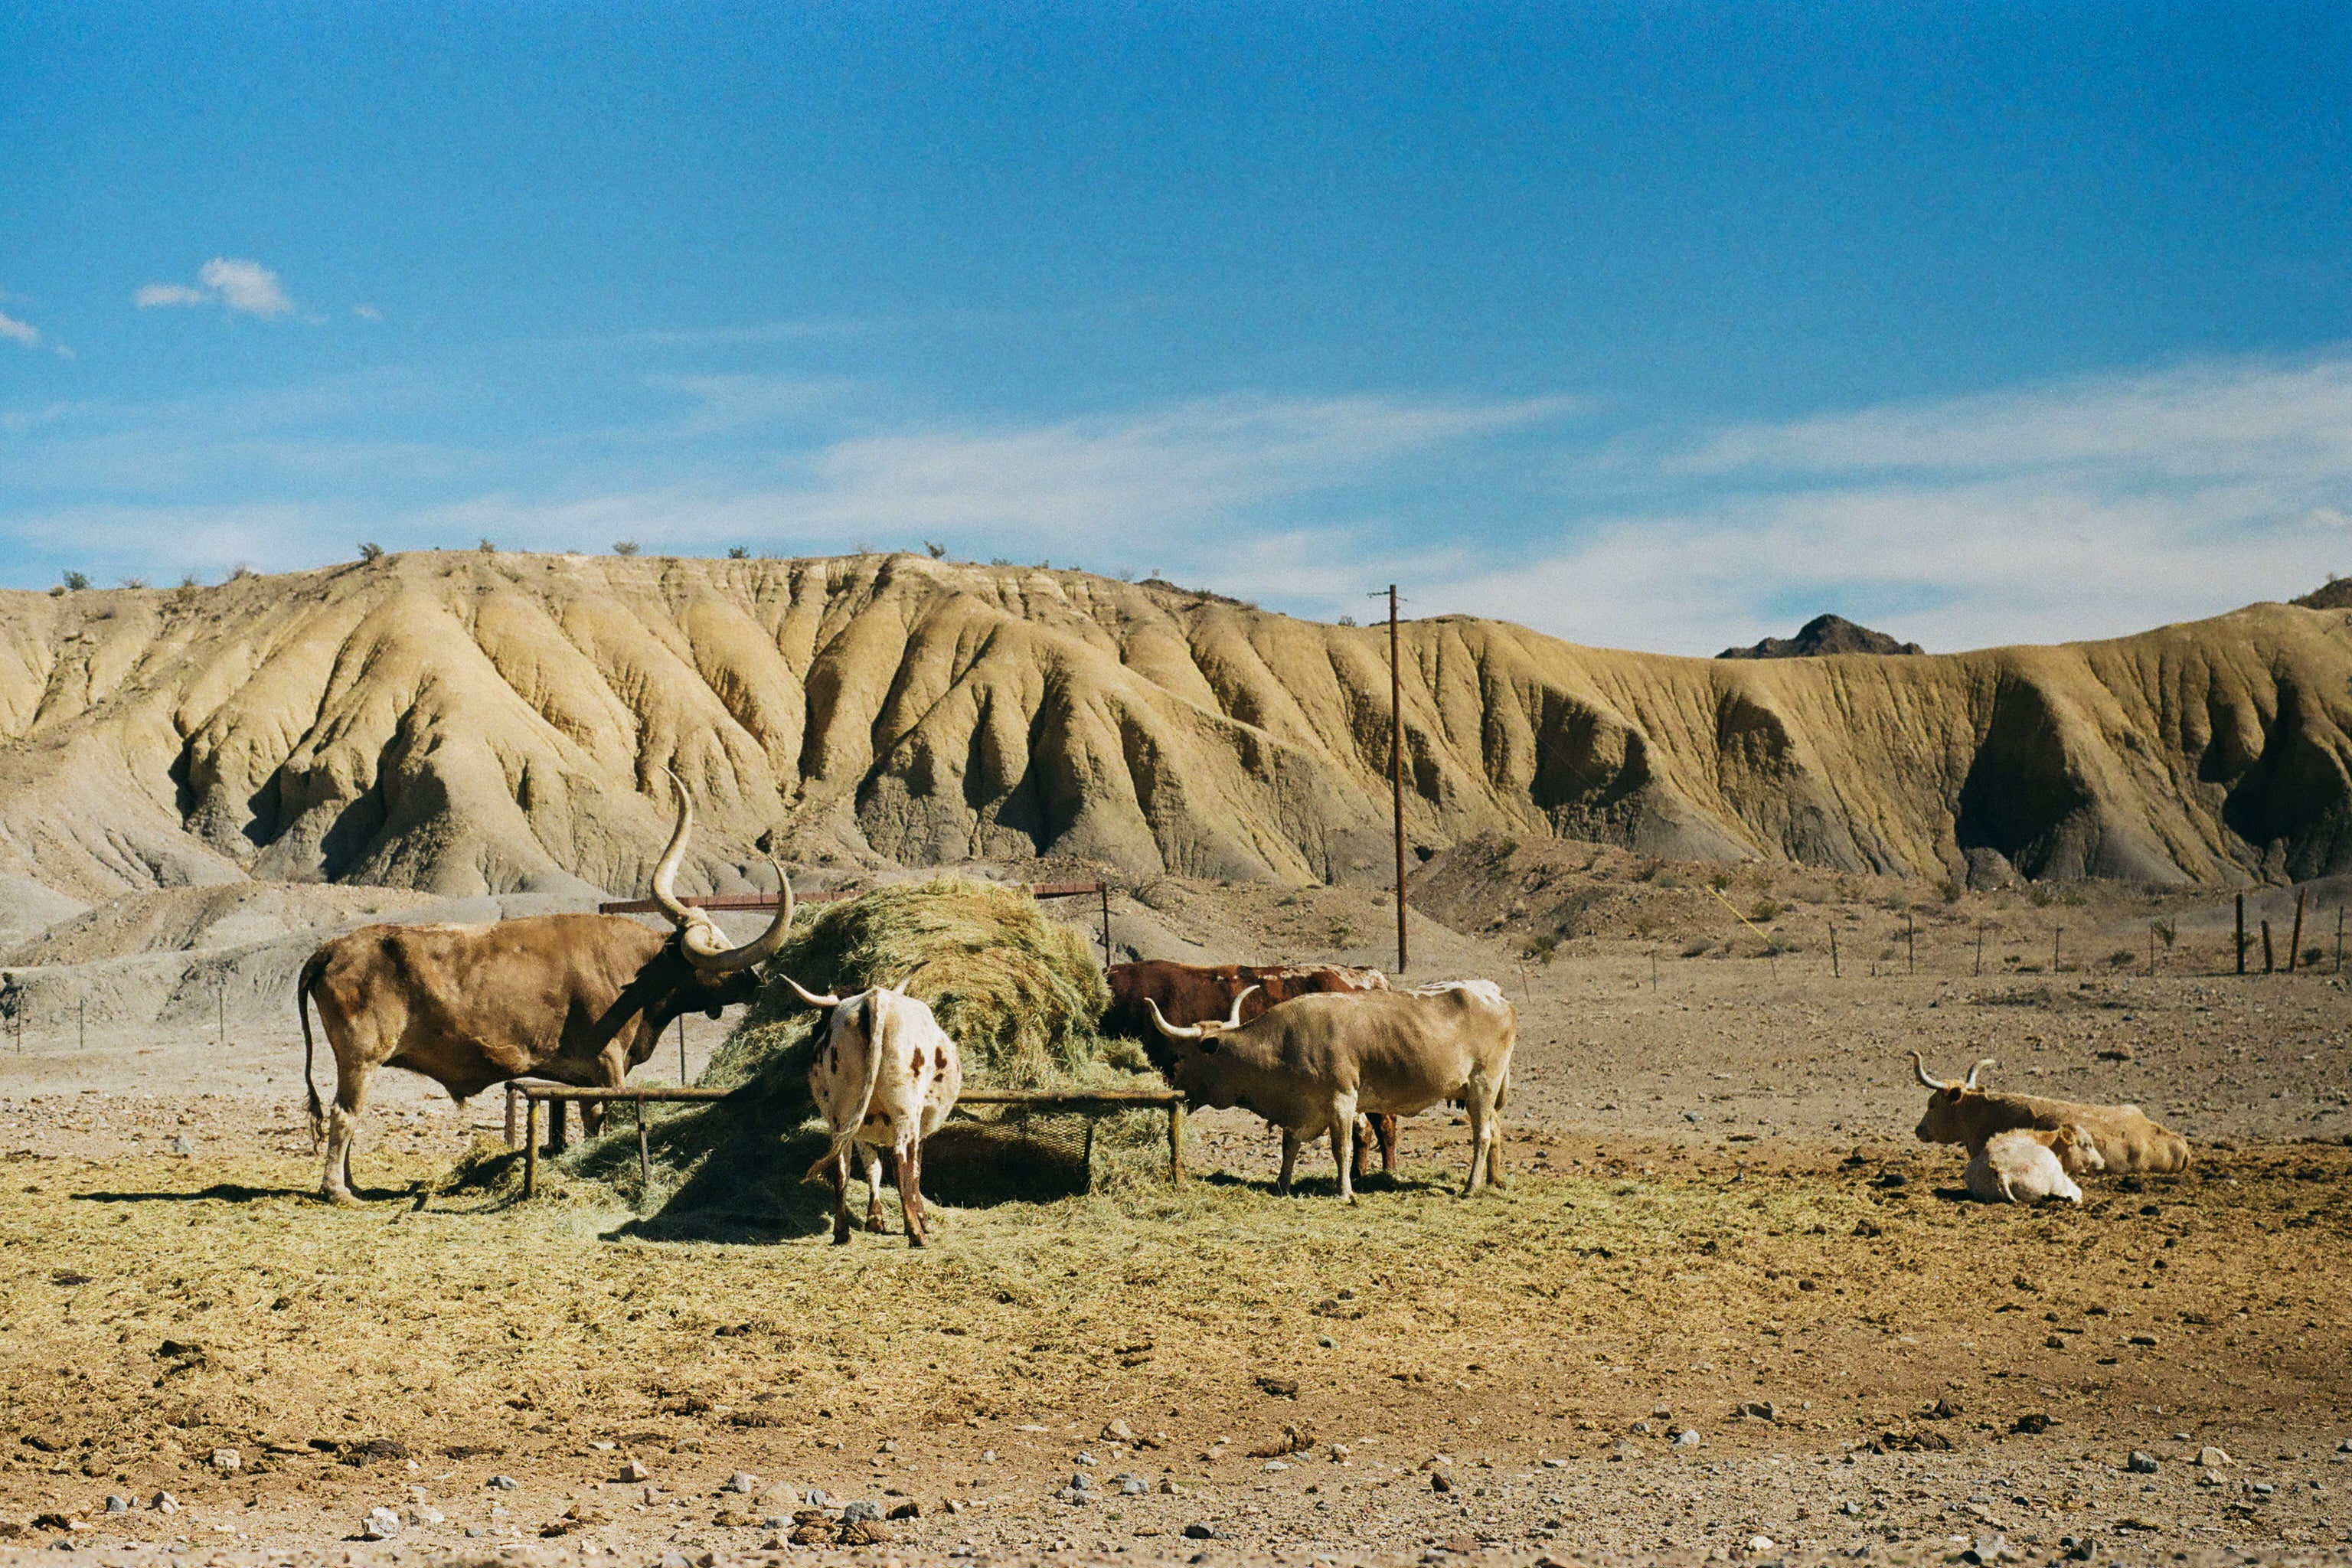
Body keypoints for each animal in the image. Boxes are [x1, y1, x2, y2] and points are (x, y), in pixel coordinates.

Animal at [297, 774, 795, 1205]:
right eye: (717, 943)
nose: (755, 980)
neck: (635, 972)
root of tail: (332, 949)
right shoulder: (607, 1064)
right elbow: (601, 1118)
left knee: (348, 1115)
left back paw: (353, 1184)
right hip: (361, 1058)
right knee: (345, 1115)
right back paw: (338, 1190)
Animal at [787, 978, 963, 1246]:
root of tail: (874, 998)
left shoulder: (861, 1131)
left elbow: (873, 1167)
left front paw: (875, 1220)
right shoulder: (920, 1126)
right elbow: (915, 1172)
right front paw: (921, 1219)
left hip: (843, 1117)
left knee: (841, 1167)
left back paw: (842, 1233)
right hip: (905, 1112)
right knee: (901, 1163)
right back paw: (917, 1234)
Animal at [1143, 979, 1515, 1201]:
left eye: (1182, 1057)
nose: (1172, 1089)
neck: (1283, 1044)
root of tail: (1493, 993)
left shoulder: (1342, 1100)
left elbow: (1342, 1149)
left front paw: (1345, 1191)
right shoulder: (1302, 1111)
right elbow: (1289, 1145)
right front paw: (1283, 1184)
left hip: (1482, 1084)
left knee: (1483, 1135)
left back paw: (1471, 1187)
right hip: (1481, 1092)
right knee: (1496, 1130)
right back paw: (1495, 1180)